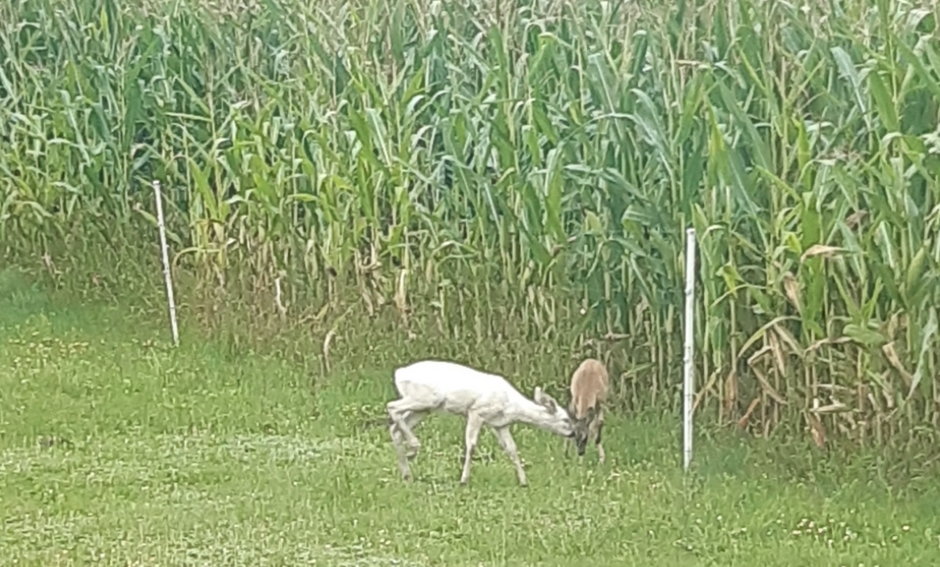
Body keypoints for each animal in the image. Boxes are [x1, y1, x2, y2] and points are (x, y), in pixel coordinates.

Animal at [386, 360, 576, 488]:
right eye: (566, 419)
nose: (573, 434)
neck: (511, 405)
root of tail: (398, 373)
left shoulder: (499, 424)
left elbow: (512, 449)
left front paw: (523, 481)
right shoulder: (476, 411)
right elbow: (471, 445)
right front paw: (464, 480)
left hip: (424, 407)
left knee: (395, 427)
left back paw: (407, 473)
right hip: (426, 398)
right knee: (391, 406)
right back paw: (413, 448)